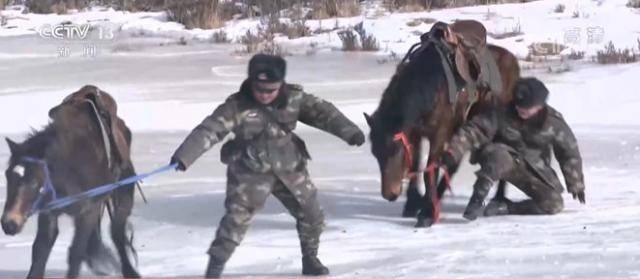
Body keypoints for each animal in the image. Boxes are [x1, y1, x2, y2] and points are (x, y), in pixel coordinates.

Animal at [1, 86, 141, 279]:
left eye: (34, 182)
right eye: (8, 177)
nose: (9, 223)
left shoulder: (88, 212)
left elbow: (76, 253)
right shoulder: (49, 213)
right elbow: (39, 252)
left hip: (123, 196)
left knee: (117, 234)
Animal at [364, 21, 520, 228]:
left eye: (394, 150)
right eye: (375, 152)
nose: (389, 194)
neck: (433, 88)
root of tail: (515, 62)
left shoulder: (439, 134)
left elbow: (430, 170)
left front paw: (427, 214)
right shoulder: (416, 134)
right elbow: (416, 165)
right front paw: (413, 204)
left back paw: (498, 198)